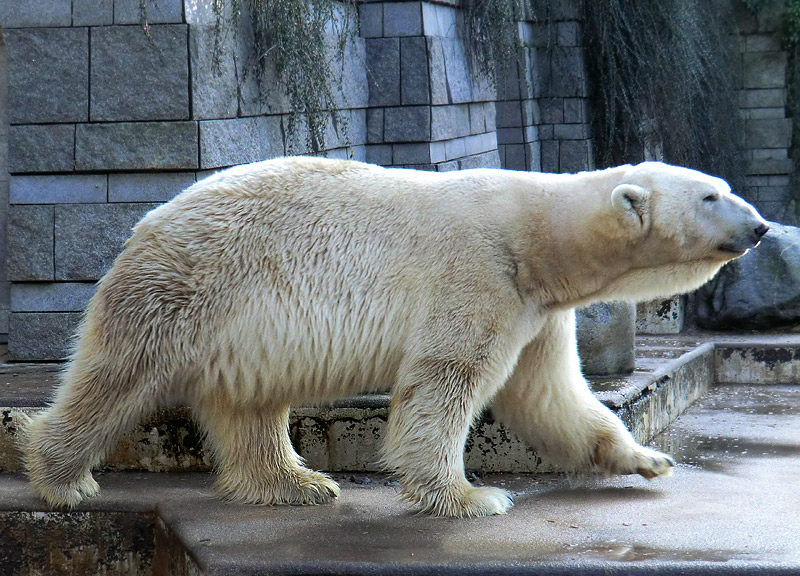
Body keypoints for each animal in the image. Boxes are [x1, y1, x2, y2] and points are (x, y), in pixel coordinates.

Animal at [21, 156, 764, 516]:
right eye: (710, 196)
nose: (759, 227)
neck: (536, 236)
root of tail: (147, 222)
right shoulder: (479, 273)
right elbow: (448, 378)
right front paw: (470, 497)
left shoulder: (537, 307)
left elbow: (549, 396)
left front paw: (648, 459)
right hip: (187, 291)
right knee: (117, 378)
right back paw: (62, 478)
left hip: (242, 329)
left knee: (251, 405)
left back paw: (297, 483)